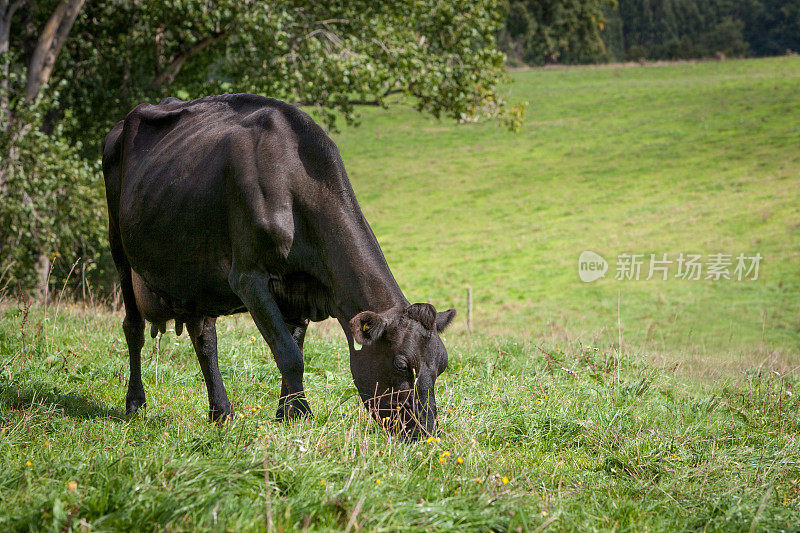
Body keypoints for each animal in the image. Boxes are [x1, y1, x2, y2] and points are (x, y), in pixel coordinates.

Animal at [100, 93, 454, 438]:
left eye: (442, 365)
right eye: (400, 364)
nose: (425, 431)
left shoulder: (301, 290)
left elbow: (294, 346)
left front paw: (287, 412)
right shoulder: (248, 277)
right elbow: (289, 353)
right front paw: (299, 414)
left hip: (196, 273)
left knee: (204, 338)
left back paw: (221, 412)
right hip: (119, 245)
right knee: (133, 328)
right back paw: (135, 403)